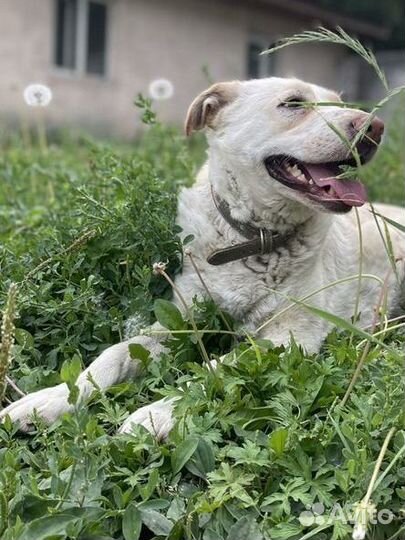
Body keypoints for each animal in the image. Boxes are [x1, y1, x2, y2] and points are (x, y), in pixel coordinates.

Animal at [1, 77, 402, 438]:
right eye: (292, 103)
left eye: (339, 101)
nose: (375, 126)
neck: (252, 242)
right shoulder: (181, 319)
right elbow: (113, 354)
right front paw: (50, 399)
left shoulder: (289, 338)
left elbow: (213, 367)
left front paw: (158, 413)